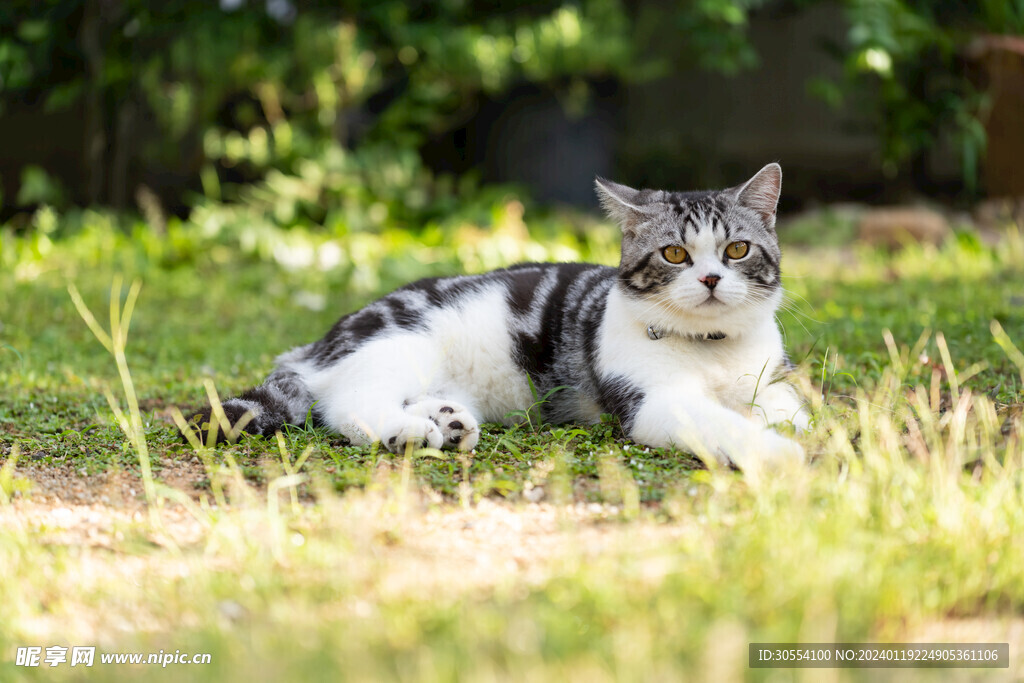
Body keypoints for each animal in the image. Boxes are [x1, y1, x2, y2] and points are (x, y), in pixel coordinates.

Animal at [186, 163, 806, 471]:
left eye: (737, 250)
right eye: (675, 254)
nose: (710, 279)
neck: (712, 348)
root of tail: (317, 346)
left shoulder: (772, 382)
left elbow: (790, 411)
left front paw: (782, 430)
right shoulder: (653, 402)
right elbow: (724, 424)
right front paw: (777, 455)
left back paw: (447, 420)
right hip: (401, 343)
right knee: (346, 403)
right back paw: (408, 431)